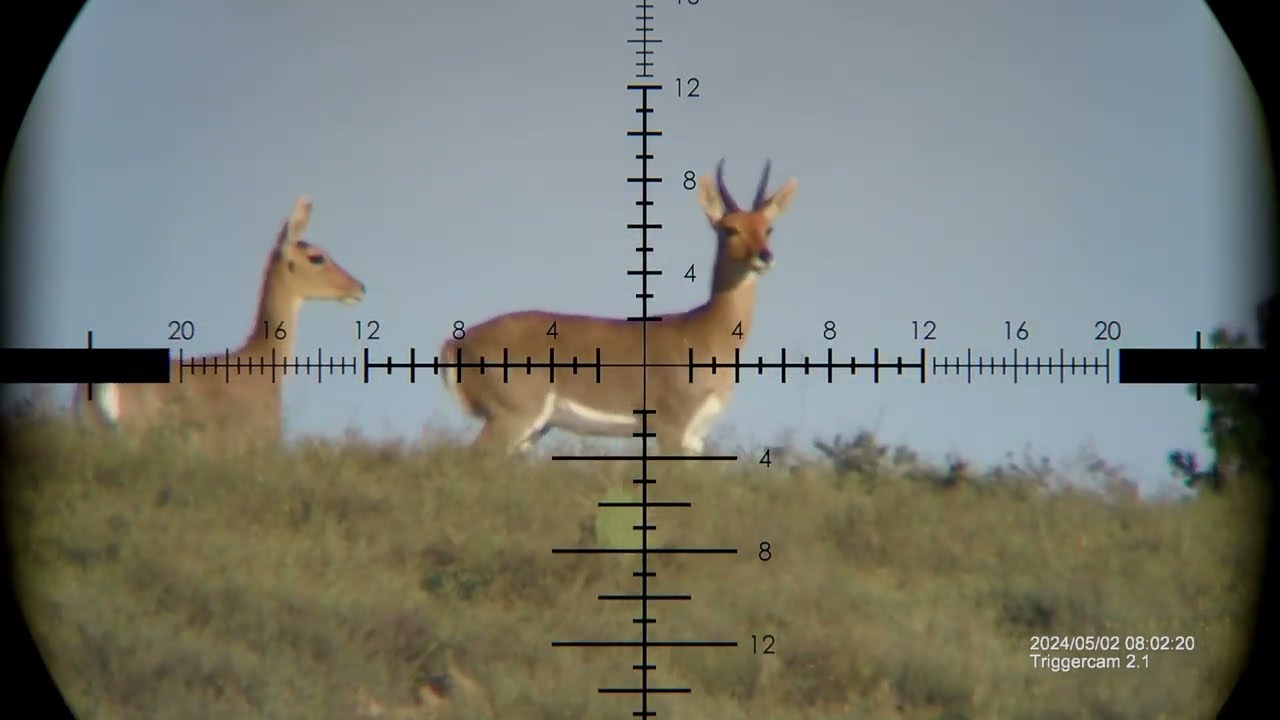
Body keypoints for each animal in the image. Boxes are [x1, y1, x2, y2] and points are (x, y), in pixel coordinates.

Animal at [440, 159, 797, 455]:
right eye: (729, 228)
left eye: (768, 228)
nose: (765, 256)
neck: (703, 331)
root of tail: (454, 342)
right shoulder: (670, 427)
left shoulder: (696, 436)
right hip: (512, 417)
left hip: (531, 429)